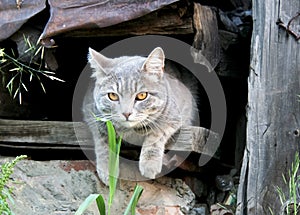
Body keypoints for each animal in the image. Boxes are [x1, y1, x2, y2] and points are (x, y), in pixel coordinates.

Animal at [82, 47, 199, 185]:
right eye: (113, 96)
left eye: (142, 95)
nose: (126, 113)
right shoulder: (91, 112)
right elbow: (103, 141)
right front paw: (108, 168)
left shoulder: (175, 115)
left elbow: (156, 134)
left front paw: (150, 163)